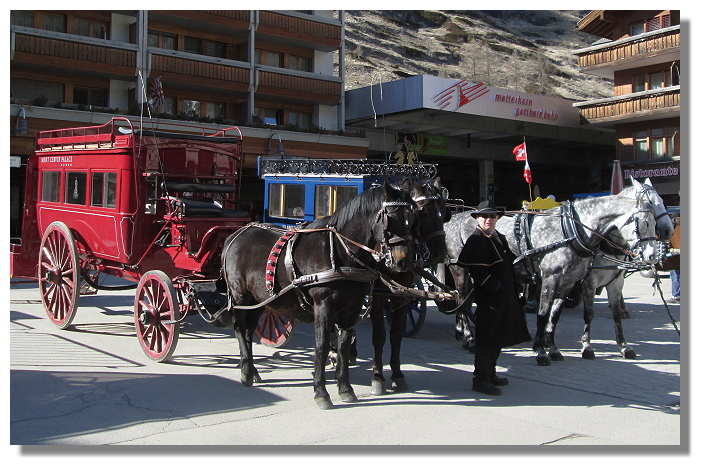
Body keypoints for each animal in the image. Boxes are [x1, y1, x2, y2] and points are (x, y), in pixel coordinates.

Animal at [223, 182, 416, 410]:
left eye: (412, 218)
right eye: (392, 217)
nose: (404, 261)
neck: (341, 251)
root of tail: (237, 234)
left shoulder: (351, 309)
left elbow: (343, 346)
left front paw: (345, 388)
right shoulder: (324, 306)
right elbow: (321, 346)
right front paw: (321, 392)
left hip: (258, 301)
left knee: (248, 330)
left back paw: (252, 370)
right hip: (241, 297)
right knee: (239, 328)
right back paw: (245, 372)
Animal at [366, 178, 448, 394]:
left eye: (444, 212)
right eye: (422, 213)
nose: (440, 253)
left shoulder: (402, 296)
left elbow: (395, 335)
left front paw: (397, 375)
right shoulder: (377, 296)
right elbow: (379, 336)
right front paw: (377, 377)